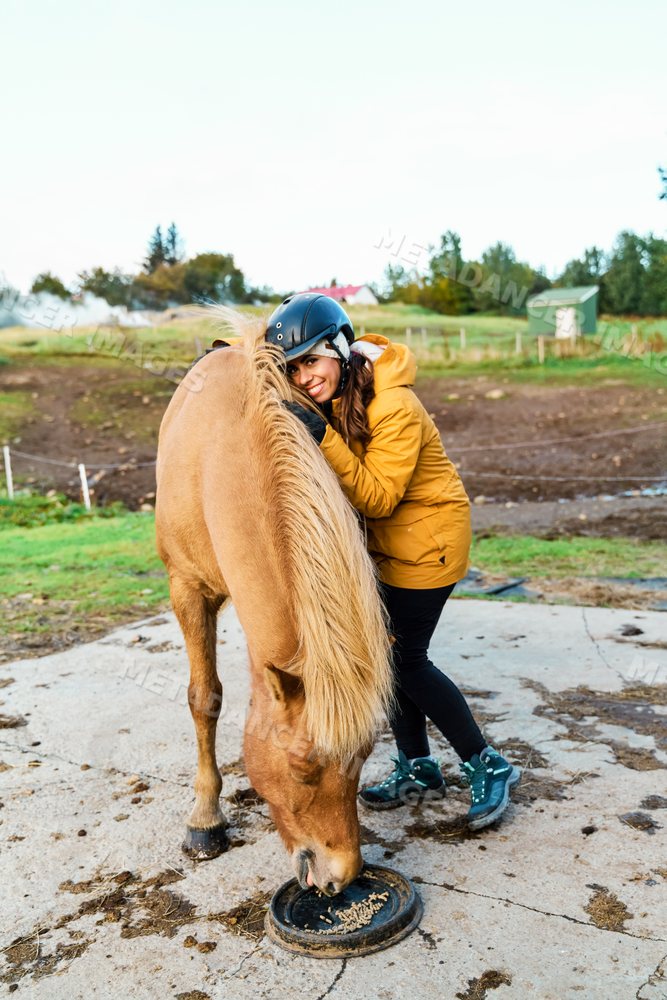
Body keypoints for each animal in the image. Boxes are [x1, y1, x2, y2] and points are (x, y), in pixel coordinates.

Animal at [155, 308, 393, 896]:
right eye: (304, 767)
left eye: (366, 756)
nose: (342, 878)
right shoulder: (187, 589)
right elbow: (204, 698)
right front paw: (205, 820)